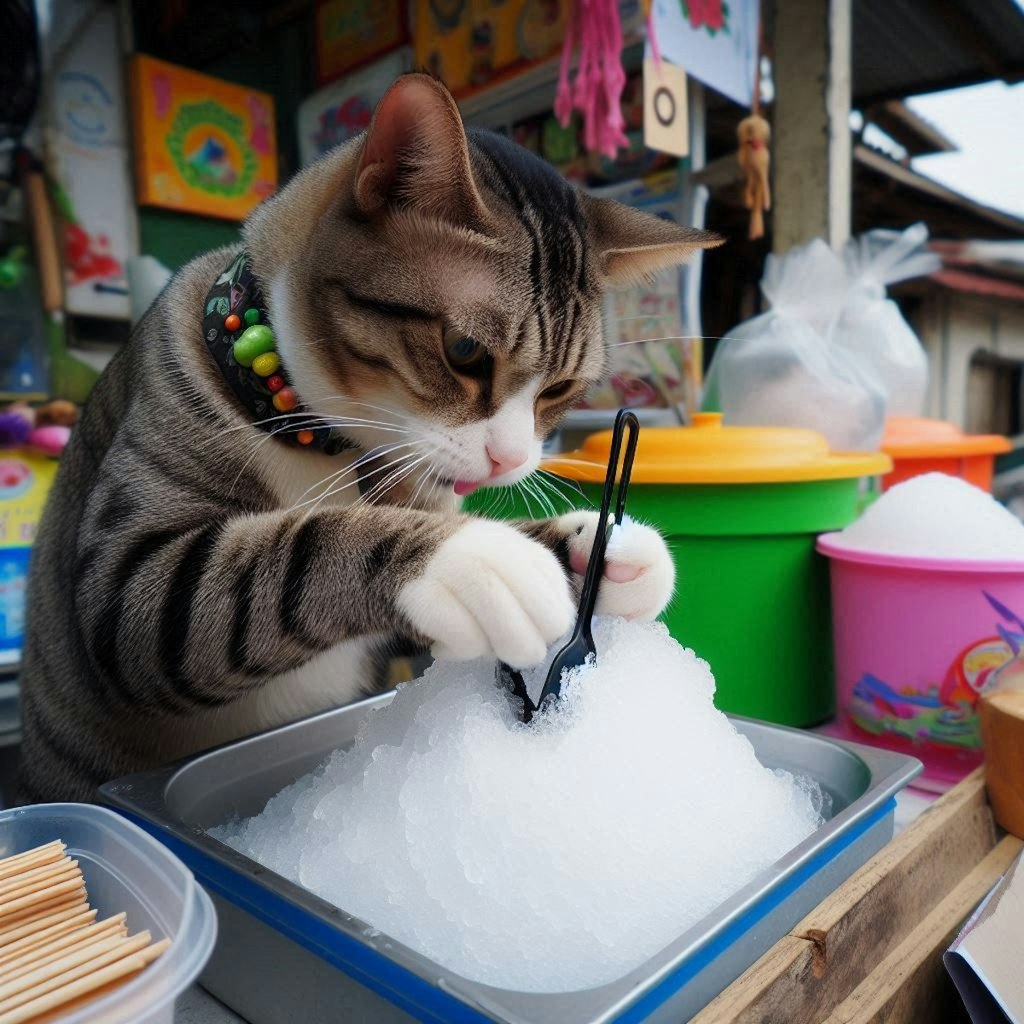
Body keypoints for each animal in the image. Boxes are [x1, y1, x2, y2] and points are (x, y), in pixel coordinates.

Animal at [18, 75, 720, 802]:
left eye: (560, 388)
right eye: (464, 352)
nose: (509, 459)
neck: (325, 446)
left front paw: (597, 551)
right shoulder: (132, 583)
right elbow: (291, 552)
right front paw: (471, 558)